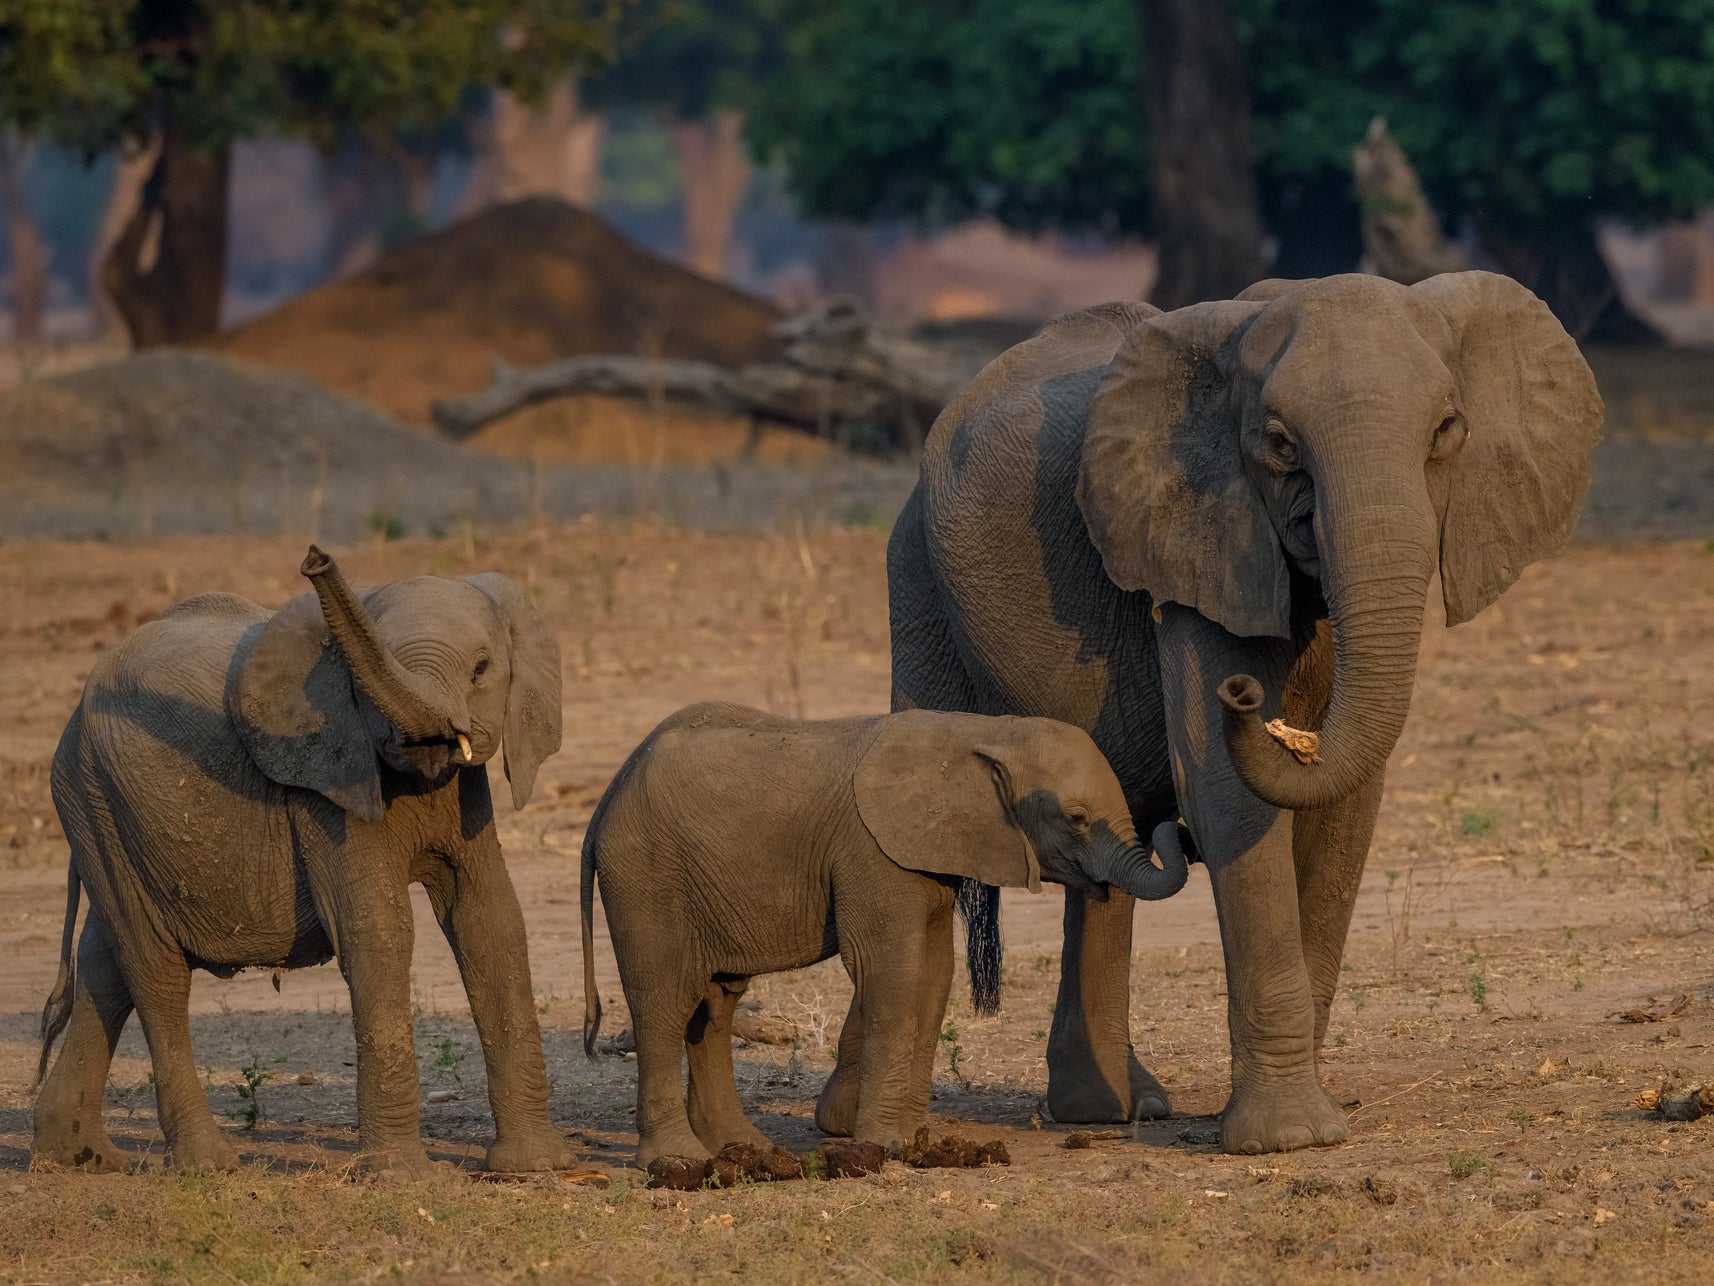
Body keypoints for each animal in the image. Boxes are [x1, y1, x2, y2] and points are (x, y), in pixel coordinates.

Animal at [33, 545, 569, 1179]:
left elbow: (490, 923)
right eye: (359, 684)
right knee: (153, 968)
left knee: (104, 960)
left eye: (482, 667)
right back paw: (208, 1165)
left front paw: (534, 1167)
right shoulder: (324, 785)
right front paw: (402, 1177)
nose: (316, 558)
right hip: (92, 794)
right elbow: (379, 931)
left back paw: (79, 1157)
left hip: (104, 809)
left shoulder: (467, 792)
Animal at [579, 706, 1192, 1165]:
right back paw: (678, 1161)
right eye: (1078, 818)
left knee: (716, 1003)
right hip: (645, 875)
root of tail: (606, 797)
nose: (1178, 824)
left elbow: (935, 972)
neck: (983, 731)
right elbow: (889, 969)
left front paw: (914, 1142)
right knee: (666, 999)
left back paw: (746, 1150)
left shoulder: (927, 855)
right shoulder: (873, 851)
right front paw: (882, 1147)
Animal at [884, 272, 1604, 1159]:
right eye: (1279, 442)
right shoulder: (1201, 540)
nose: (1247, 701)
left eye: (1447, 431)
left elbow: (1341, 803)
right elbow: (1228, 794)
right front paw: (1288, 1140)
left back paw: (1117, 1111)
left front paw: (1308, 1122)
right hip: (914, 578)